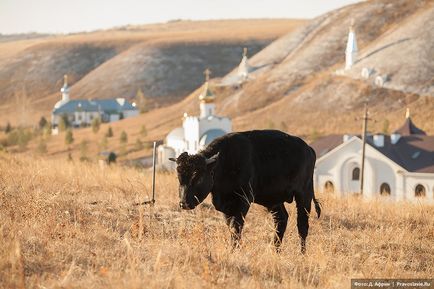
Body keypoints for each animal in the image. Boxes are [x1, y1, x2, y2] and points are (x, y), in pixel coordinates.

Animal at [171, 129, 320, 251]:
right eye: (179, 177)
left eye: (198, 177)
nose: (183, 203)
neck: (222, 163)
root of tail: (309, 149)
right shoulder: (226, 206)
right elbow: (231, 227)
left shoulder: (243, 201)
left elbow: (236, 227)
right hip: (274, 201)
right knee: (281, 219)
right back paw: (276, 250)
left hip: (304, 195)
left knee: (302, 225)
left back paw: (302, 254)